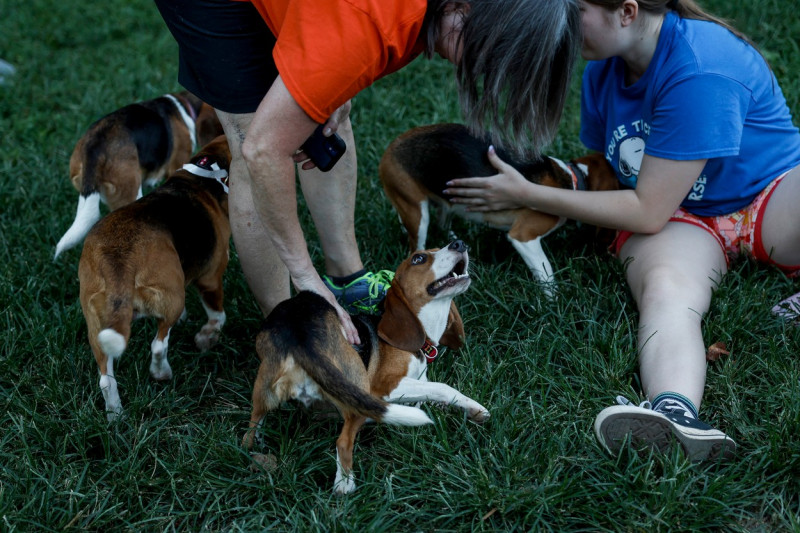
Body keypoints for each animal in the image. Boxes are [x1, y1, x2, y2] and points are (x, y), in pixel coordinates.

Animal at [79, 135, 231, 422]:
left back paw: (115, 414)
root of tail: (119, 261)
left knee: (106, 378)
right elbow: (218, 315)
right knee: (159, 345)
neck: (205, 172)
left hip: (97, 325)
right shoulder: (211, 277)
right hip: (172, 298)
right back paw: (162, 373)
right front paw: (209, 335)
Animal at [244, 239, 490, 492]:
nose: (459, 243)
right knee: (343, 441)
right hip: (358, 386)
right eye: (419, 258)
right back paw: (345, 484)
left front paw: (470, 409)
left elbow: (432, 393)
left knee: (248, 436)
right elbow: (442, 387)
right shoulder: (386, 385)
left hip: (264, 392)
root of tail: (300, 334)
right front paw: (475, 407)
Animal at [378, 123, 616, 296]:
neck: (572, 179)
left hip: (446, 200)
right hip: (416, 213)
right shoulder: (524, 237)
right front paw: (553, 303)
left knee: (442, 220)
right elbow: (546, 273)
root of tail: (391, 146)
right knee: (417, 245)